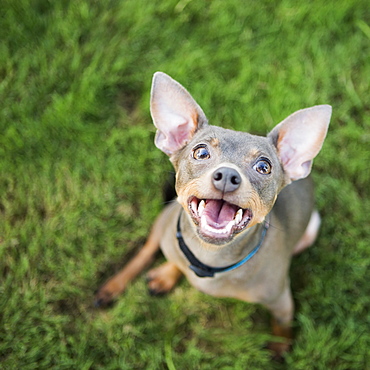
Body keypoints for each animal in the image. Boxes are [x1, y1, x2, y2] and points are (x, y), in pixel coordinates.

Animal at [94, 71, 330, 356]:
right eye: (201, 152)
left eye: (264, 166)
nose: (227, 175)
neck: (209, 259)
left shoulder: (282, 303)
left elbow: (282, 327)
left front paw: (280, 348)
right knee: (147, 251)